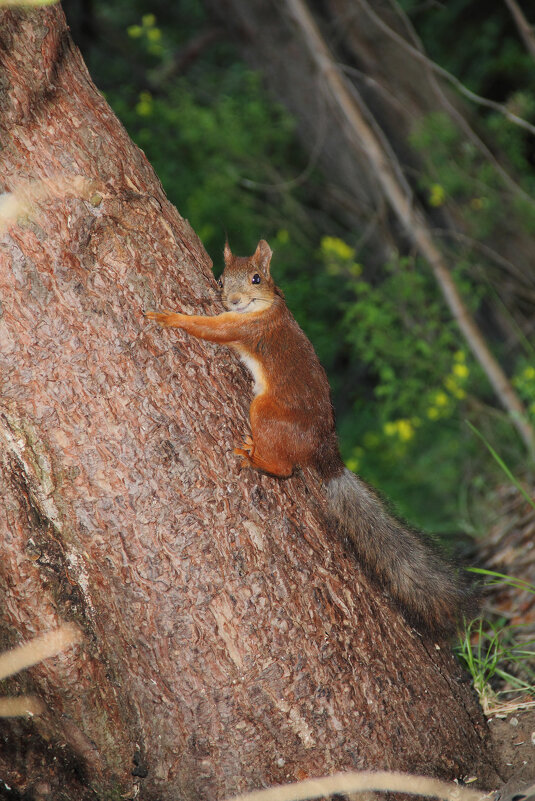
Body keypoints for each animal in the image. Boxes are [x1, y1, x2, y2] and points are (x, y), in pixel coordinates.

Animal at [147, 239, 474, 632]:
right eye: (222, 278)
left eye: (256, 278)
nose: (235, 300)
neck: (265, 306)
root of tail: (326, 454)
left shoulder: (246, 330)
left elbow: (209, 329)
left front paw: (168, 318)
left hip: (266, 412)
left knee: (284, 469)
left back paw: (256, 459)